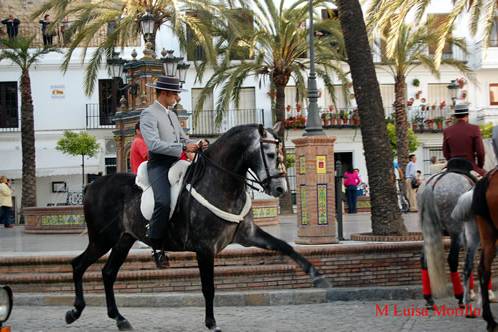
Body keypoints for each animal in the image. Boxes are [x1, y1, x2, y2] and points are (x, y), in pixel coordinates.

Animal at [65, 124, 330, 330]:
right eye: (271, 154)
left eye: (283, 152)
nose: (280, 189)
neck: (220, 183)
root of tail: (93, 185)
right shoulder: (205, 248)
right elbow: (208, 287)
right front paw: (211, 323)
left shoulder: (248, 235)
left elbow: (285, 246)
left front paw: (317, 276)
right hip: (102, 240)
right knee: (78, 265)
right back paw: (75, 311)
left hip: (123, 240)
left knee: (108, 273)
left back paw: (119, 319)